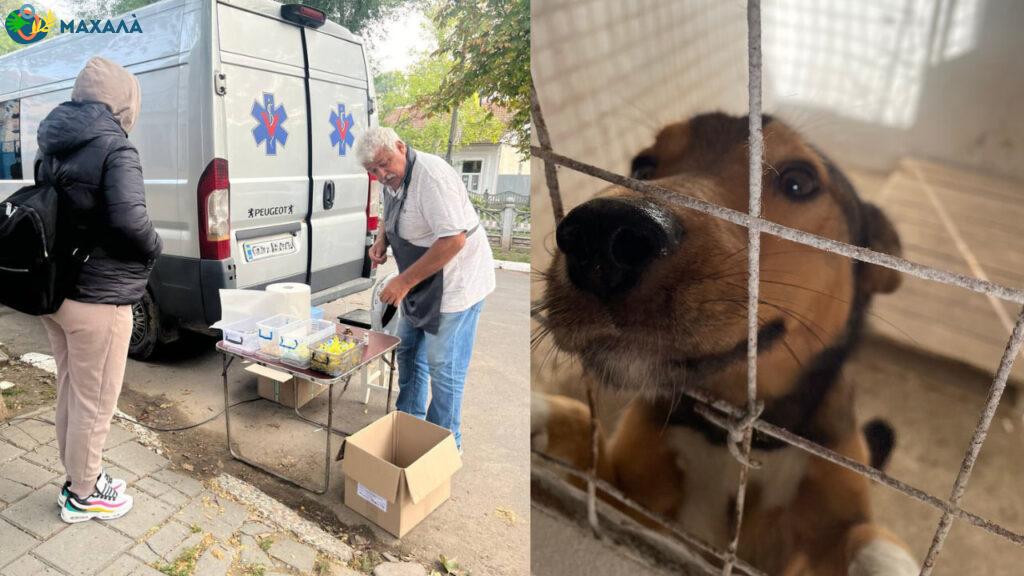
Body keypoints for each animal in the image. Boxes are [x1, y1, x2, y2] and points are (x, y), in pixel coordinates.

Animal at [532, 113, 917, 573]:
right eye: (642, 167)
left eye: (799, 182)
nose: (601, 233)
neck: (727, 426)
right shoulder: (632, 508)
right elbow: (581, 433)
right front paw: (537, 414)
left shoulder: (822, 528)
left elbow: (869, 535)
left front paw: (888, 559)